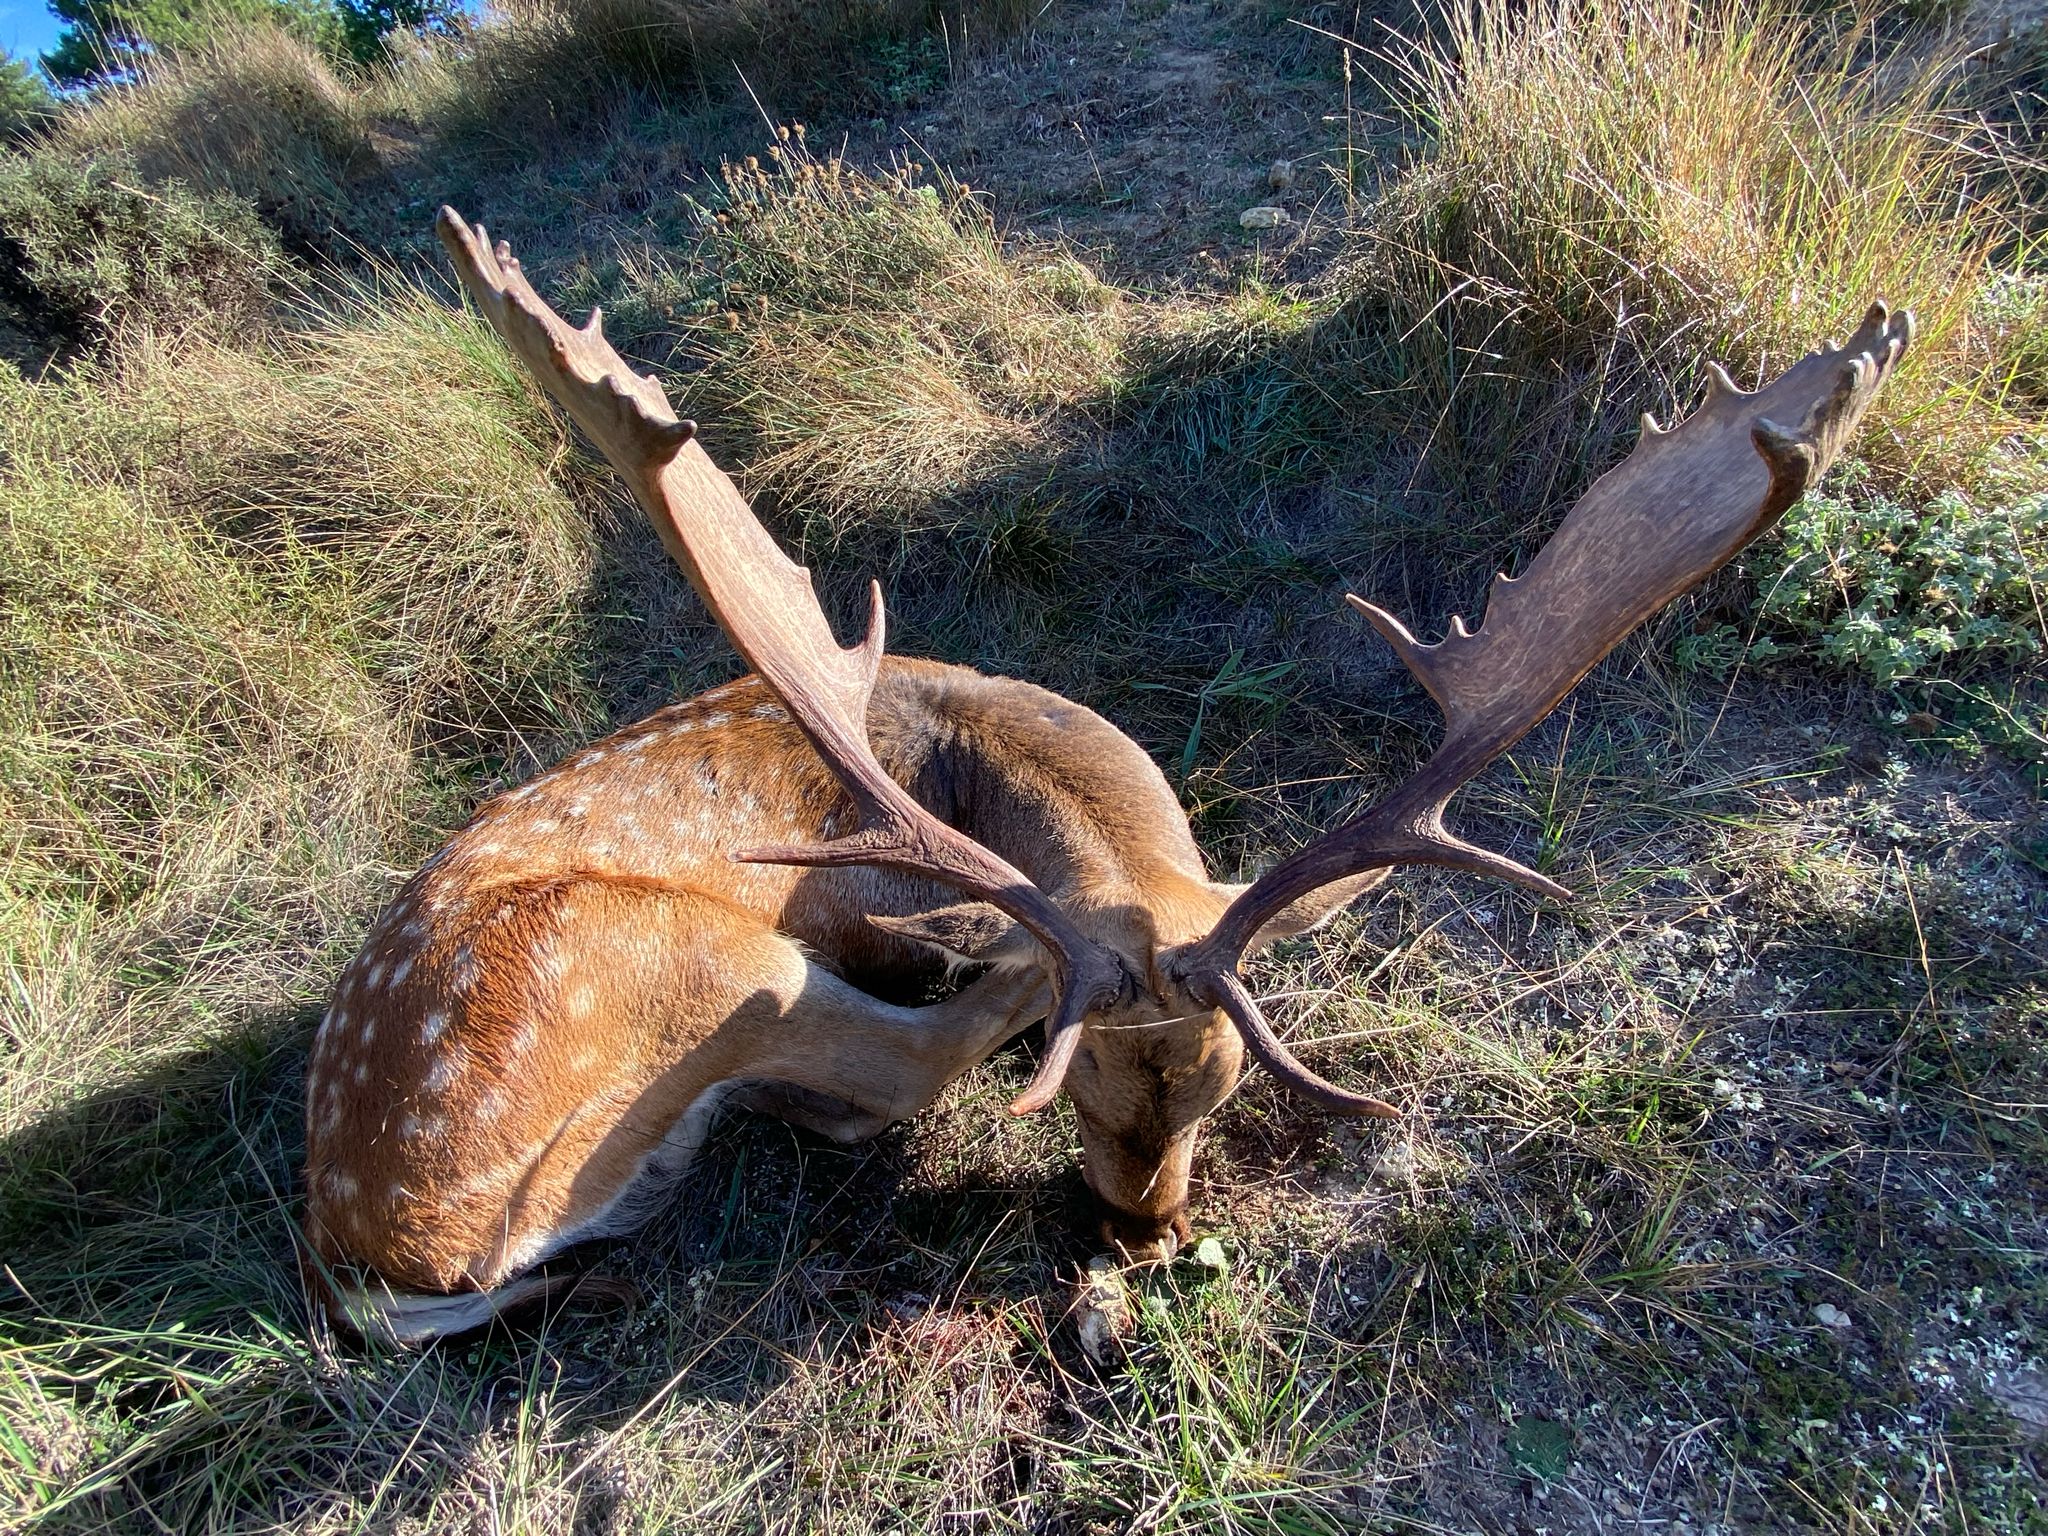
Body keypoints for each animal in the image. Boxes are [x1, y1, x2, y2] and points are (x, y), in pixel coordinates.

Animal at [298, 205, 1912, 1344]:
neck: (972, 745)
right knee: (882, 1067)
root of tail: (382, 1257)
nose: (1143, 1237)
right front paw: (986, 966)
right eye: (1078, 1095)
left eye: (1217, 1095)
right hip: (673, 957)